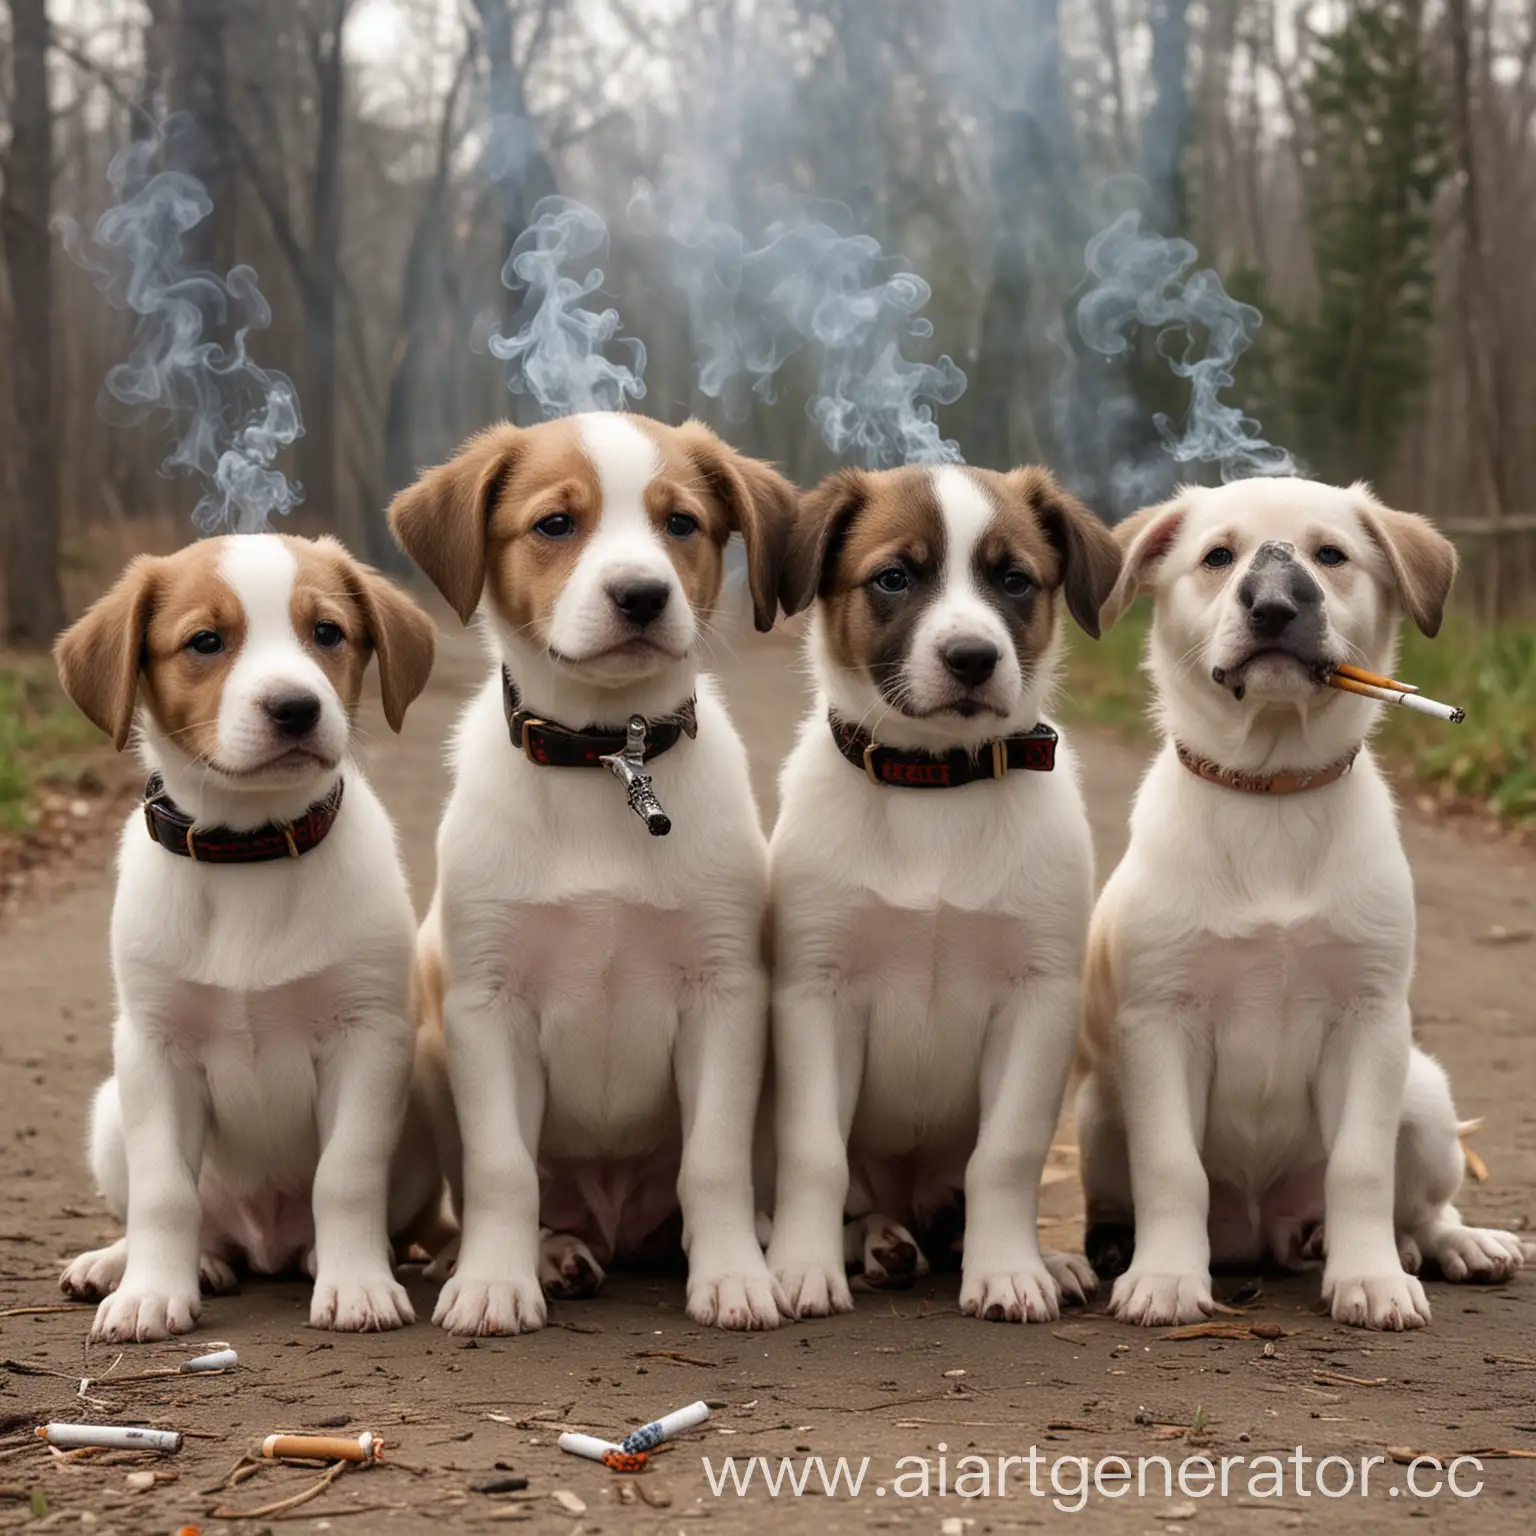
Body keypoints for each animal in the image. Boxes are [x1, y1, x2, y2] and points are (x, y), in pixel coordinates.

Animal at [54, 534, 439, 1339]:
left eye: (326, 632)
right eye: (206, 641)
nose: (296, 707)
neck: (249, 853)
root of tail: (263, 1243)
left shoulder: (366, 1037)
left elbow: (346, 1177)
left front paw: (358, 1285)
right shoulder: (154, 1048)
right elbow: (164, 1191)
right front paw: (148, 1292)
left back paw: (324, 1258)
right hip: (110, 1110)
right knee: (181, 1214)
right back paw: (142, 1262)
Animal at [390, 408, 798, 1333]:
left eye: (680, 522)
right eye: (554, 524)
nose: (641, 594)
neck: (608, 761)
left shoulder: (723, 993)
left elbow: (714, 1158)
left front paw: (733, 1276)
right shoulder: (487, 1005)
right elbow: (502, 1167)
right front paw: (495, 1283)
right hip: (431, 1054)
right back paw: (552, 1254)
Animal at [768, 457, 1118, 1320]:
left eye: (1014, 580)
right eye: (894, 577)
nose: (971, 657)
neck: (933, 786)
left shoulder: (1036, 998)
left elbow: (1009, 1154)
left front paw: (1009, 1271)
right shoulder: (815, 993)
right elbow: (814, 1151)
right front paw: (802, 1266)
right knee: (867, 1204)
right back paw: (877, 1244)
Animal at [1075, 479, 1529, 1333]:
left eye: (1331, 555)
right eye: (1217, 556)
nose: (1276, 605)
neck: (1273, 796)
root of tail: (1267, 1229)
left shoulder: (1370, 1020)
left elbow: (1361, 1167)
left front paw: (1372, 1279)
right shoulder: (1161, 1023)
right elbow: (1172, 1166)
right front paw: (1166, 1278)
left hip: (1423, 1095)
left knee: (1421, 1207)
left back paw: (1451, 1245)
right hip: (1098, 1113)